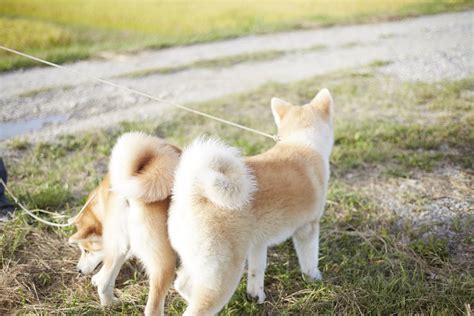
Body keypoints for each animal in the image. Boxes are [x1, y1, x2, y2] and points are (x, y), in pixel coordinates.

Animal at [69, 132, 181, 314]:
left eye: (86, 251)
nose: (78, 270)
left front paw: (96, 277)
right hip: (163, 263)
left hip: (119, 247)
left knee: (104, 283)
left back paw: (111, 304)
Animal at [168, 88, 334, 314]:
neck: (301, 141)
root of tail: (194, 194)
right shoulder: (307, 228)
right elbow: (309, 258)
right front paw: (314, 279)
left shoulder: (258, 242)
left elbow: (257, 270)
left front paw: (256, 296)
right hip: (222, 273)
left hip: (199, 263)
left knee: (182, 284)